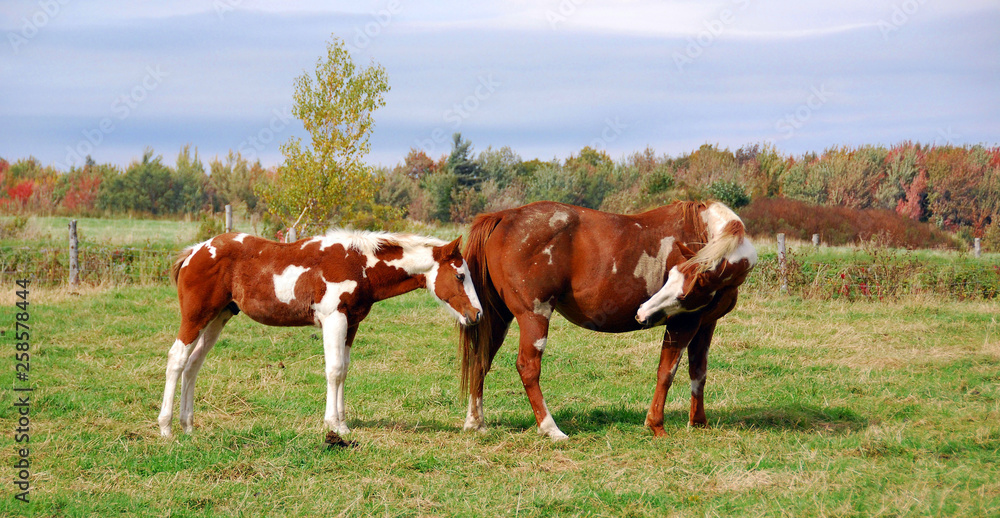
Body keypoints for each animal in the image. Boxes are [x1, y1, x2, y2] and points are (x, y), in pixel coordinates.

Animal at [158, 230, 483, 439]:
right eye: (460, 275)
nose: (477, 314)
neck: (359, 264)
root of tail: (193, 252)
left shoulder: (352, 323)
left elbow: (344, 370)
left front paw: (341, 420)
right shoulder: (333, 319)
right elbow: (334, 370)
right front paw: (335, 426)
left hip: (218, 318)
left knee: (193, 365)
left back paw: (188, 426)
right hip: (196, 317)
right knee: (176, 360)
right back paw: (166, 428)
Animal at [459, 200, 756, 439]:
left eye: (684, 286)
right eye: (671, 279)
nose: (642, 313)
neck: (705, 230)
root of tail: (504, 216)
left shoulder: (706, 324)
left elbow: (698, 372)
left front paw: (698, 422)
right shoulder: (683, 324)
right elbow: (666, 372)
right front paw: (656, 425)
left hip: (499, 318)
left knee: (480, 361)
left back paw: (475, 422)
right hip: (534, 316)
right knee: (527, 368)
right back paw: (550, 428)